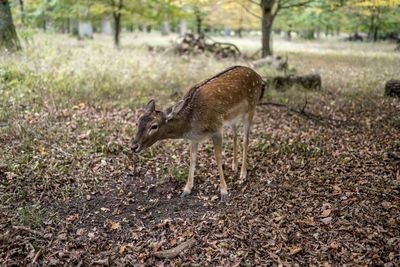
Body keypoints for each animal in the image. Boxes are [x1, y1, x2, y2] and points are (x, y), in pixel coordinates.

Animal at [131, 66, 264, 201]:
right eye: (137, 122)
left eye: (154, 126)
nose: (133, 146)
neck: (193, 124)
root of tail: (259, 77)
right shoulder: (194, 138)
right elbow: (193, 158)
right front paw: (186, 189)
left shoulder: (217, 128)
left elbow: (218, 157)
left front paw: (224, 192)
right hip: (232, 117)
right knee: (235, 134)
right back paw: (234, 165)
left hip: (251, 108)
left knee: (246, 139)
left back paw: (243, 174)